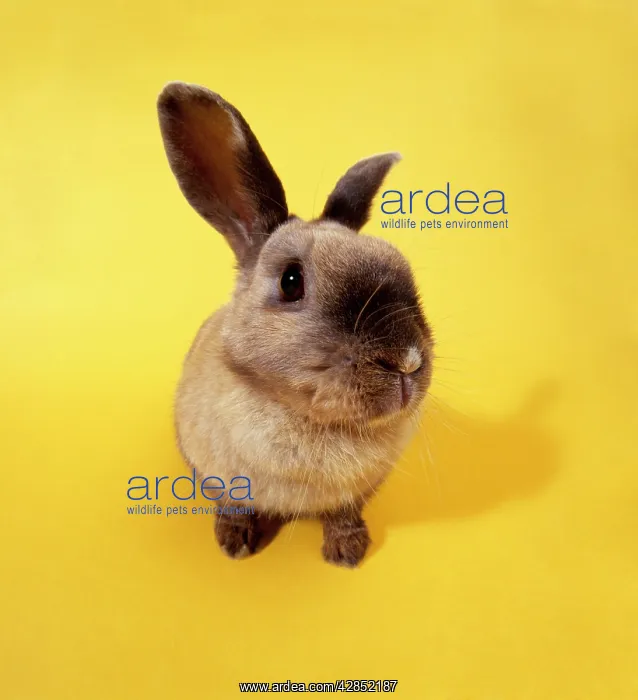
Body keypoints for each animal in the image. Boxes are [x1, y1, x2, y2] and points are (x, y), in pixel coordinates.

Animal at [157, 82, 434, 567]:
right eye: (291, 282)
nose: (406, 361)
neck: (310, 419)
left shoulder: (355, 493)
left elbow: (343, 512)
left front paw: (347, 552)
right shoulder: (221, 477)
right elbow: (233, 506)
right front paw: (235, 545)